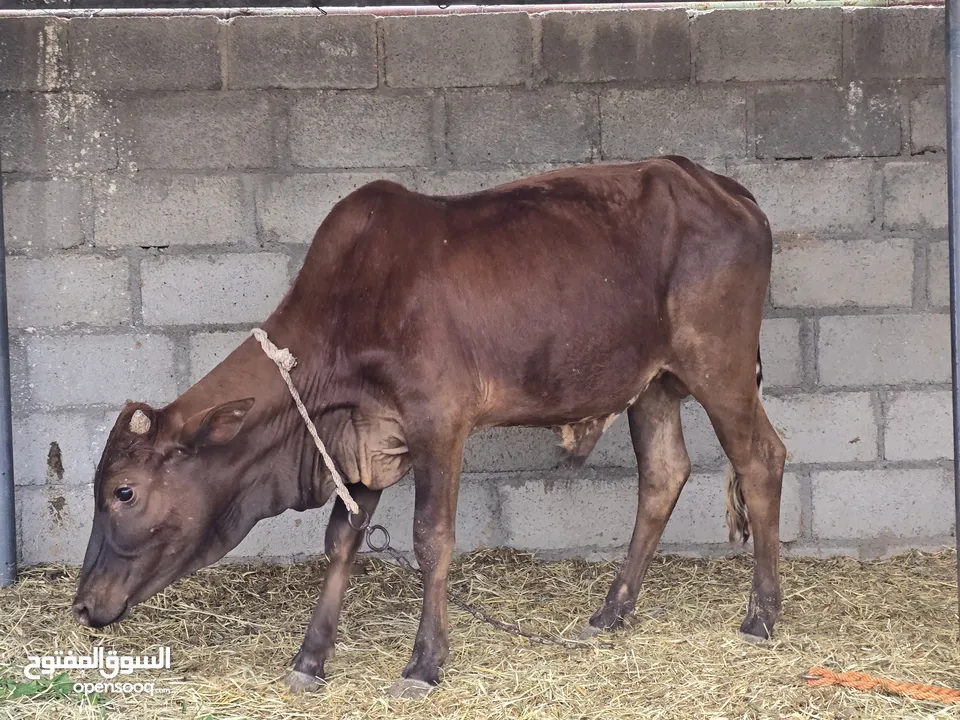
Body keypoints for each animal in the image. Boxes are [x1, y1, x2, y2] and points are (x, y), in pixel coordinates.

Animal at [73, 156, 788, 696]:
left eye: (124, 491)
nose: (81, 605)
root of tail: (722, 186)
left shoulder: (439, 425)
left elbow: (430, 539)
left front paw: (422, 663)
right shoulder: (365, 441)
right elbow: (342, 540)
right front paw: (310, 659)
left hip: (718, 367)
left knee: (762, 459)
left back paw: (761, 616)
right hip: (653, 384)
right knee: (664, 474)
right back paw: (610, 613)